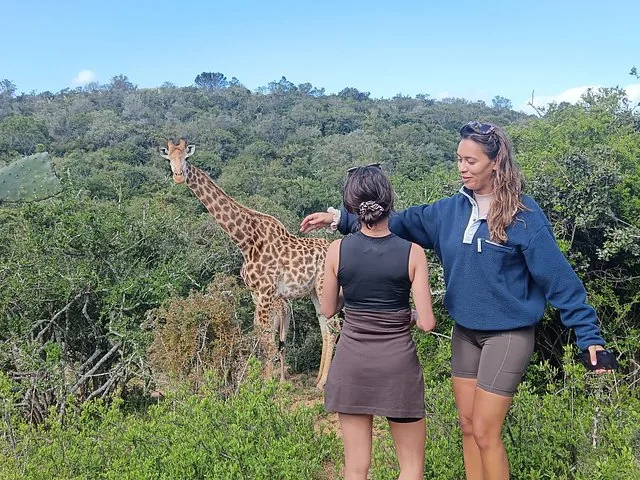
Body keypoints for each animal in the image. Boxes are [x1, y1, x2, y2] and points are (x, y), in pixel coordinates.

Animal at [160, 138, 337, 389]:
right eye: (169, 158)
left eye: (186, 157)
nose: (178, 176)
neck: (245, 240)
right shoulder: (255, 292)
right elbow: (262, 336)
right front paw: (263, 383)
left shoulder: (266, 292)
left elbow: (267, 339)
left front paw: (269, 387)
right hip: (313, 290)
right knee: (325, 327)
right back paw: (319, 381)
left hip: (323, 286)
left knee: (332, 327)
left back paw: (323, 384)